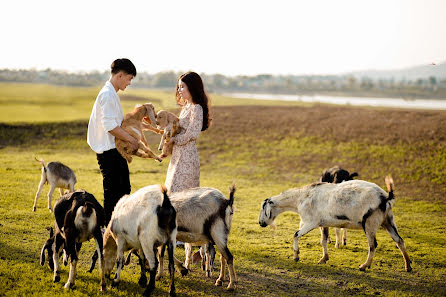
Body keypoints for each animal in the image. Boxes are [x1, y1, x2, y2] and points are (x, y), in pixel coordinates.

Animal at [258, 176, 412, 270]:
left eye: (263, 208)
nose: (260, 223)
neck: (300, 198)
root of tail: (385, 197)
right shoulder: (323, 223)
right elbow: (323, 240)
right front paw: (324, 259)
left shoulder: (310, 222)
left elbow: (295, 235)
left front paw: (296, 256)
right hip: (388, 221)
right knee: (399, 240)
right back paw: (408, 266)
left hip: (370, 223)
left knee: (373, 245)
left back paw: (364, 266)